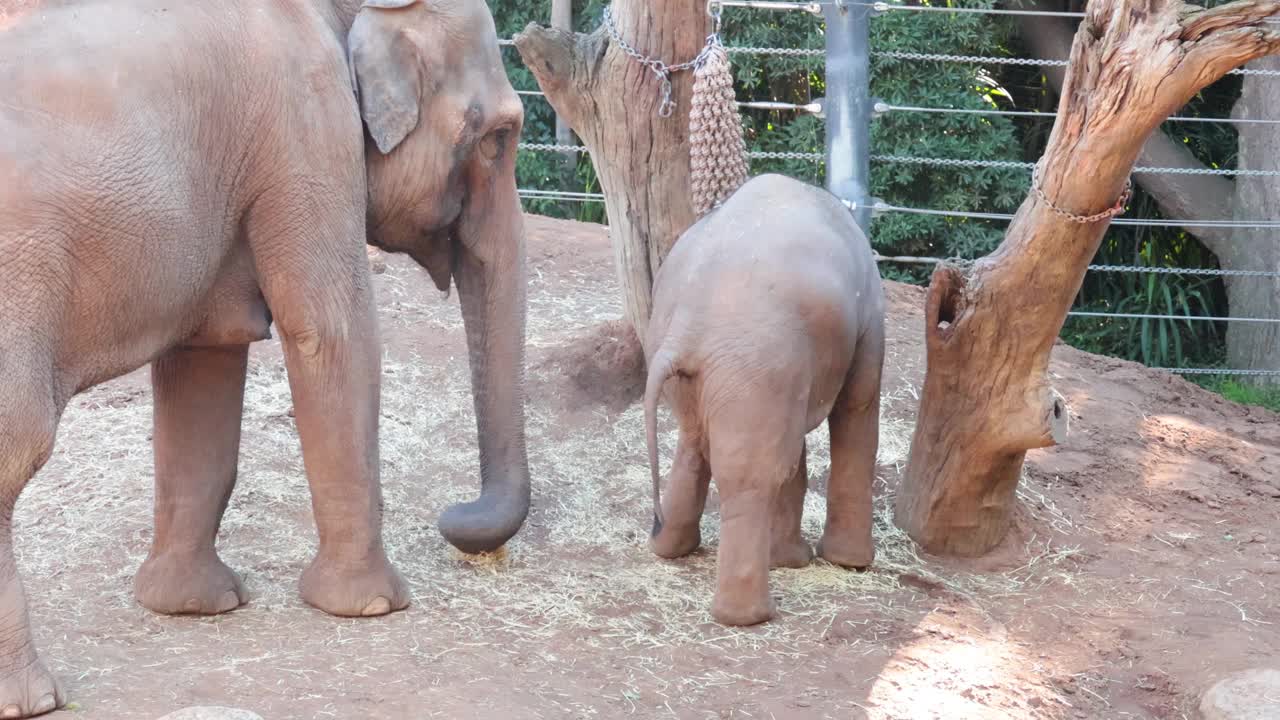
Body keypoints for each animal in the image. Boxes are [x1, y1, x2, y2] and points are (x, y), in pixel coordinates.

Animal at [0, 0, 529, 707]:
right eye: (498, 137)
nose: (456, 514)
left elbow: (204, 360)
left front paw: (195, 605)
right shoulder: (306, 126)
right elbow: (332, 330)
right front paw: (371, 606)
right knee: (18, 443)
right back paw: (30, 699)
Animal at [645, 172, 885, 622]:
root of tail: (689, 322)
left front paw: (794, 561)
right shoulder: (868, 319)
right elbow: (857, 404)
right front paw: (849, 564)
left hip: (715, 367)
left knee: (696, 444)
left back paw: (668, 548)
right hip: (754, 363)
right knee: (751, 475)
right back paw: (748, 616)